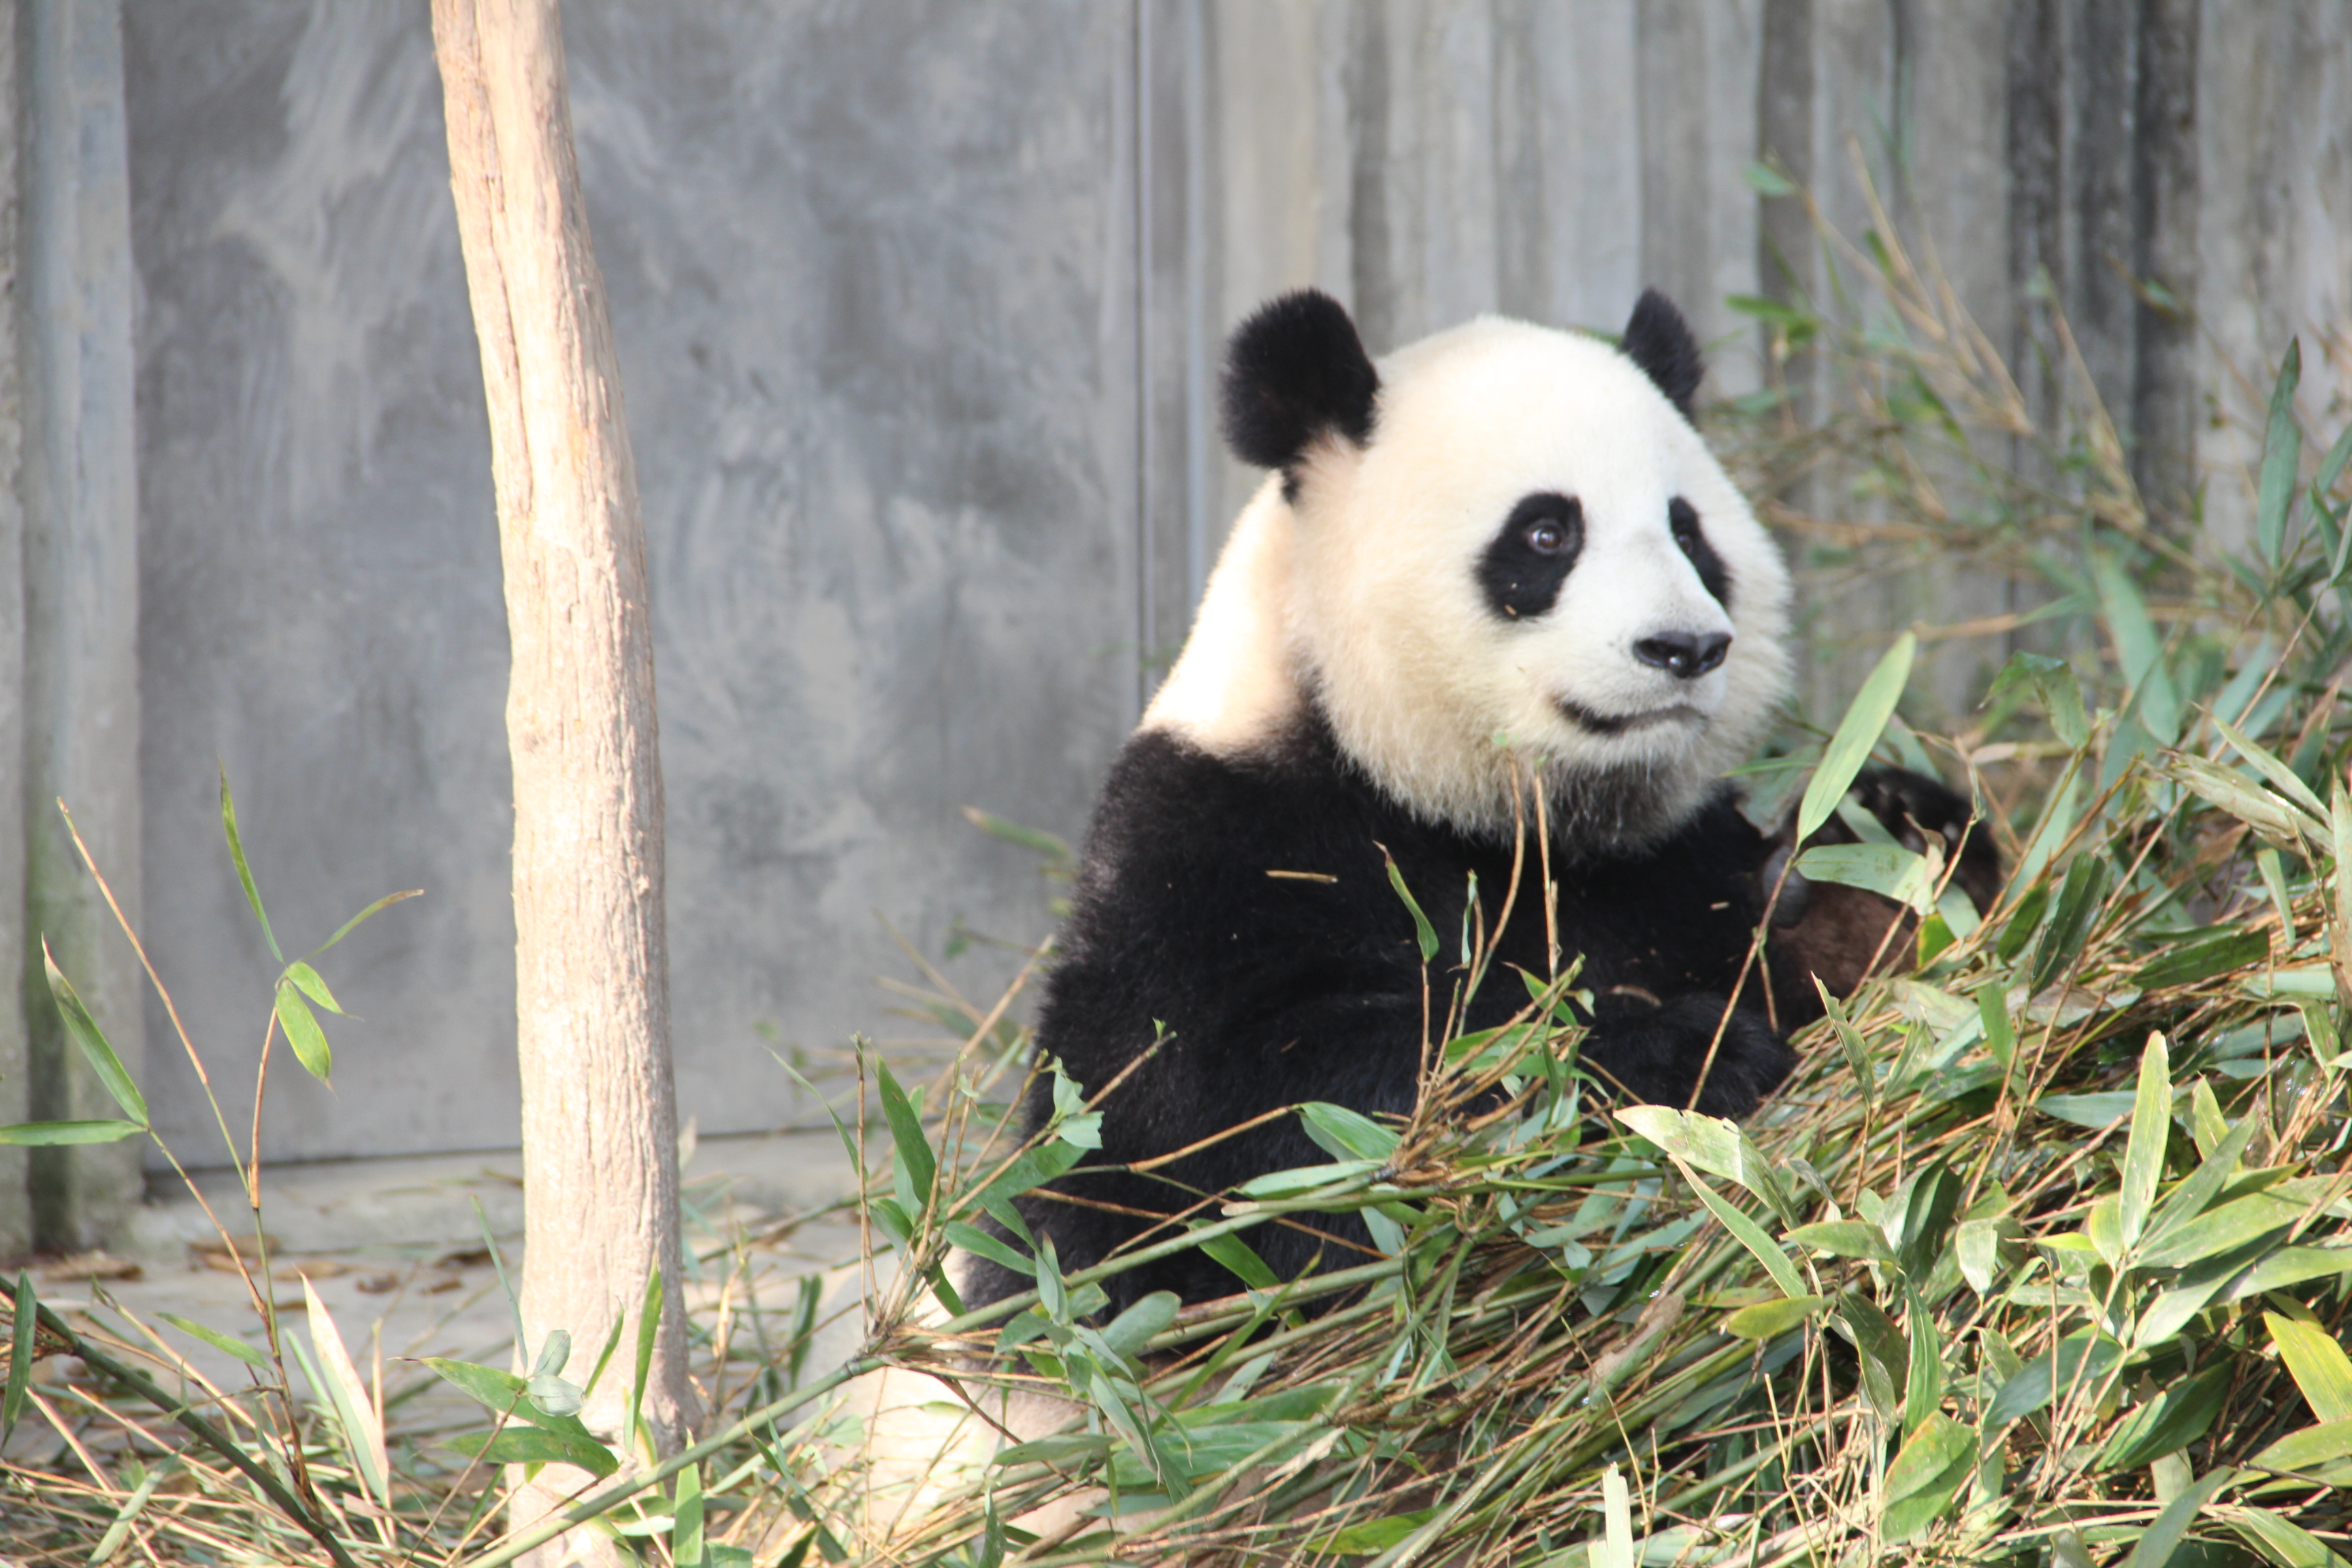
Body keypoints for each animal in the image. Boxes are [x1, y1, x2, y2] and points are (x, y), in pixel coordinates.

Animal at [964, 288, 1994, 1316]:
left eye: (1689, 532)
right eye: (1546, 534)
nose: (1686, 647)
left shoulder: (1663, 867)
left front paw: (1884, 860)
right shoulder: (1206, 862)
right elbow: (1242, 1143)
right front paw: (1676, 1053)